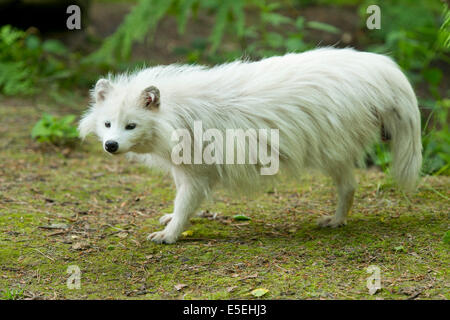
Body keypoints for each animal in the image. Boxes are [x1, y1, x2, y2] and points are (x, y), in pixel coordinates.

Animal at [80, 47, 422, 244]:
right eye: (107, 124)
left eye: (131, 126)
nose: (111, 145)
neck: (176, 114)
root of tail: (379, 66)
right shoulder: (183, 169)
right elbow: (179, 202)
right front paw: (169, 220)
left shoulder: (197, 175)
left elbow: (184, 204)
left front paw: (169, 234)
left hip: (332, 153)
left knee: (349, 187)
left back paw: (336, 220)